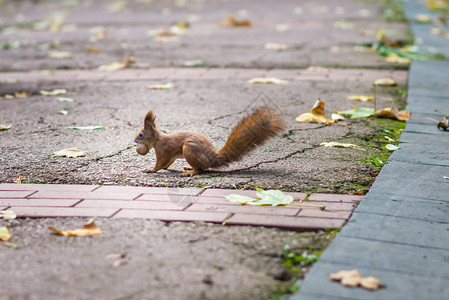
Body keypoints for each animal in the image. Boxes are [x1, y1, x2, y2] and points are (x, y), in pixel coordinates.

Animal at [135, 106, 286, 176]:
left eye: (141, 134)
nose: (134, 141)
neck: (157, 138)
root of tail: (213, 157)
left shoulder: (163, 149)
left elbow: (159, 163)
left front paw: (150, 169)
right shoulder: (170, 155)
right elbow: (168, 162)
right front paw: (165, 168)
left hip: (189, 148)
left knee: (200, 169)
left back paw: (190, 172)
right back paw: (189, 167)